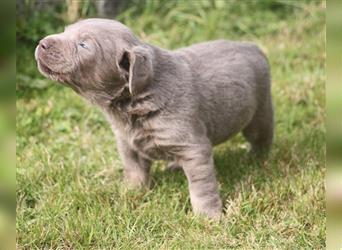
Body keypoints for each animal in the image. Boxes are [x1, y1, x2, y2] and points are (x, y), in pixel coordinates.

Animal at [34, 18, 274, 219]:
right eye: (65, 30)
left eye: (84, 45)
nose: (42, 43)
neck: (132, 105)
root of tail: (252, 46)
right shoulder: (126, 142)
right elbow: (134, 170)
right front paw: (132, 193)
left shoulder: (194, 148)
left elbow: (201, 186)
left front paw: (208, 217)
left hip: (259, 113)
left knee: (262, 137)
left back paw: (257, 158)